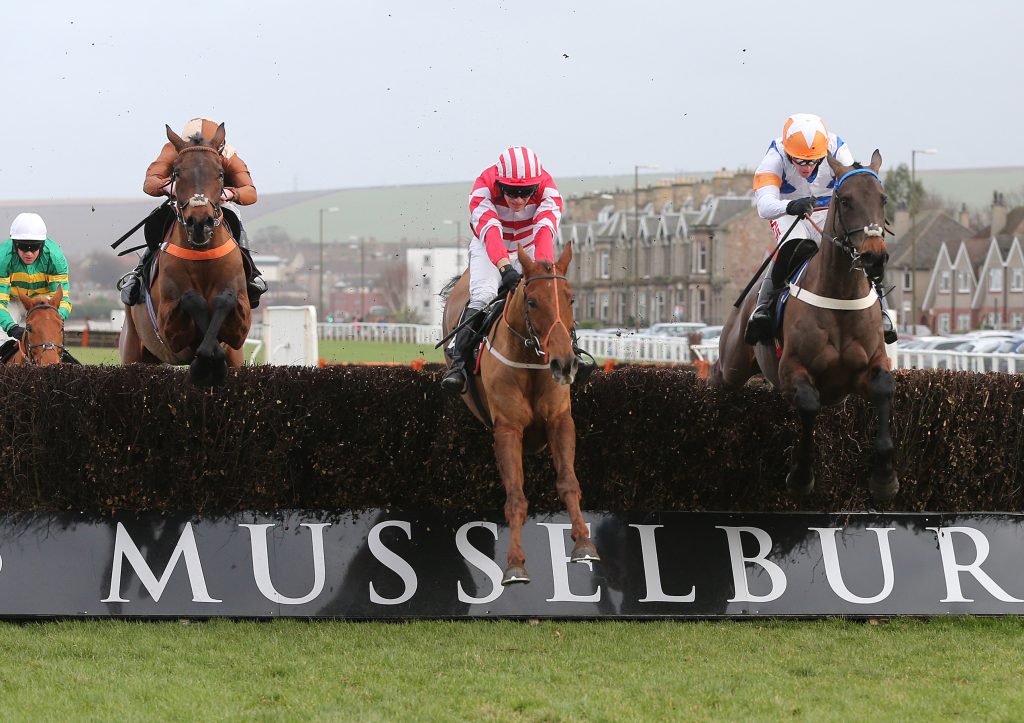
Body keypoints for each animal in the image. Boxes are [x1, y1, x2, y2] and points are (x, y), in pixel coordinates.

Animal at [116, 121, 249, 385]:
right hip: (133, 351)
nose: (199, 223)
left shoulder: (241, 326)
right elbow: (191, 299)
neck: (202, 255)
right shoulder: (168, 329)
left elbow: (225, 298)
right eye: (177, 173)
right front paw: (203, 366)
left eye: (220, 173)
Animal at [440, 240, 598, 581]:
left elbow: (569, 483)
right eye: (532, 301)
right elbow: (515, 497)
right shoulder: (508, 429)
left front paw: (584, 544)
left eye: (570, 299)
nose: (565, 363)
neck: (531, 359)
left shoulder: (560, 421)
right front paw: (514, 563)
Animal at [712, 150, 897, 501]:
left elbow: (884, 389)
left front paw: (884, 478)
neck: (839, 296)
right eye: (846, 200)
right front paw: (801, 477)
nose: (874, 258)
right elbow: (809, 404)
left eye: (883, 199)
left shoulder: (868, 367)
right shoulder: (792, 369)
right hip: (734, 363)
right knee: (718, 375)